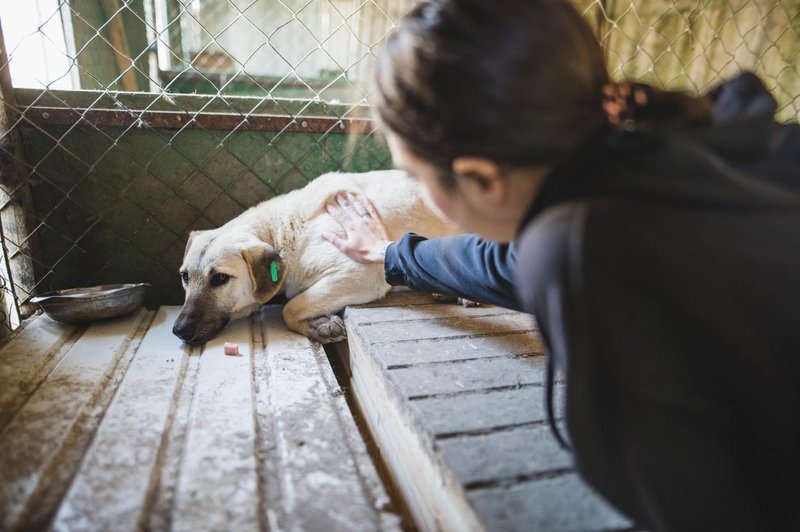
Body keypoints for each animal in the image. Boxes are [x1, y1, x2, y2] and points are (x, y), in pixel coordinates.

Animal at [172, 170, 454, 344]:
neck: (284, 230)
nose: (178, 330)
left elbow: (289, 308)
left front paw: (317, 326)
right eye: (185, 277)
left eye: (220, 278)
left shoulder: (359, 273)